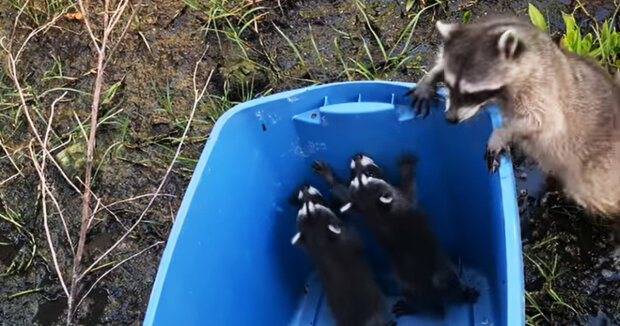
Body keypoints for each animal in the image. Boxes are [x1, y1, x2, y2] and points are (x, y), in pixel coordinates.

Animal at [290, 185, 394, 326]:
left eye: (306, 206)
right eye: (310, 204)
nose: (304, 186)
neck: (320, 243)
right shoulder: (349, 238)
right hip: (378, 302)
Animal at [346, 154, 478, 318]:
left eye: (366, 173)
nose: (356, 156)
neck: (376, 210)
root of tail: (432, 291)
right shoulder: (403, 198)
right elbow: (410, 187)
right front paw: (406, 168)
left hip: (410, 283)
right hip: (443, 269)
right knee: (453, 284)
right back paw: (460, 293)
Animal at [412, 15, 620, 224]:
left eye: (473, 94)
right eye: (448, 84)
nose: (450, 119)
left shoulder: (542, 88)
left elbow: (541, 121)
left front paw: (501, 133)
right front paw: (430, 78)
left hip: (597, 168)